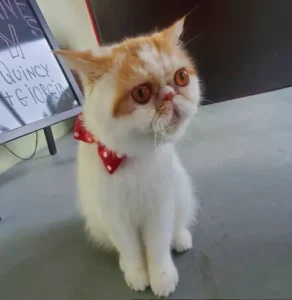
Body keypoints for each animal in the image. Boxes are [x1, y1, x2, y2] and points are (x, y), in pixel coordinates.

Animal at [54, 16, 201, 298]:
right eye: (141, 93)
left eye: (181, 77)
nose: (170, 94)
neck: (135, 157)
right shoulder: (113, 215)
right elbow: (131, 250)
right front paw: (136, 274)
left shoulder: (160, 208)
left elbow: (157, 248)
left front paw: (162, 277)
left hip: (182, 191)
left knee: (178, 224)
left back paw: (180, 238)